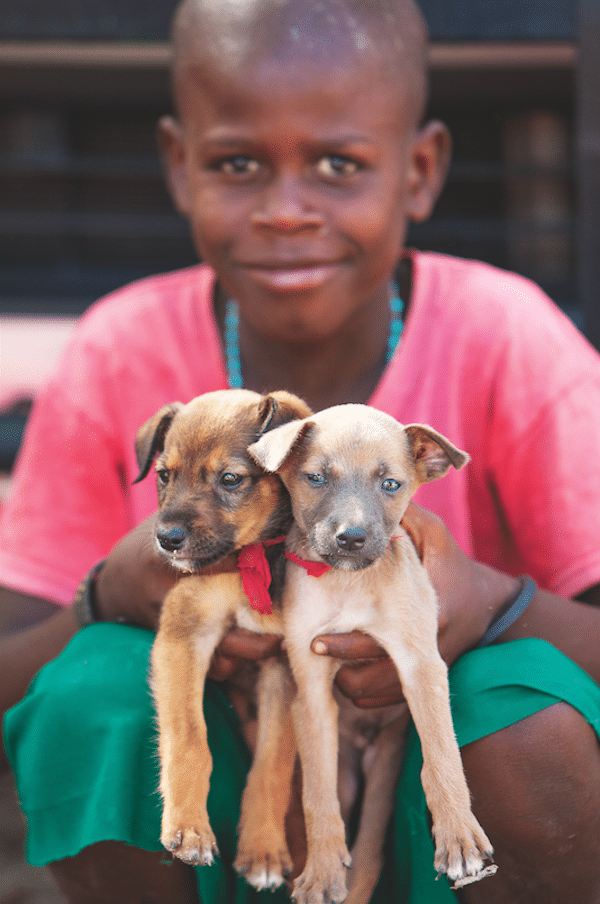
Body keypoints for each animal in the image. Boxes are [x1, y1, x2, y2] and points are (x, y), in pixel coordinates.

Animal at [132, 386, 310, 888]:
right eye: (164, 476)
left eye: (231, 479)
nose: (166, 538)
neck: (246, 563)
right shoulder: (183, 635)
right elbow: (190, 736)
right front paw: (189, 827)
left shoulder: (281, 665)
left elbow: (272, 761)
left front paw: (264, 847)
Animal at [250, 404, 496, 904]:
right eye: (315, 478)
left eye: (391, 485)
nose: (351, 538)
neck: (348, 582)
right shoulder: (312, 688)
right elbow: (318, 793)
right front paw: (322, 872)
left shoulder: (420, 663)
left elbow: (441, 755)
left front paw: (460, 839)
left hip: (384, 767)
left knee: (371, 848)